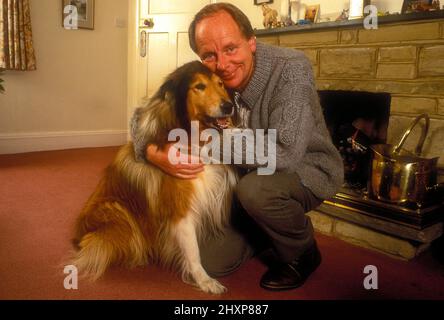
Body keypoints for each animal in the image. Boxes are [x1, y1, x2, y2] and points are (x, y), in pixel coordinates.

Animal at [72, 61, 239, 294]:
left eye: (221, 83)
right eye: (199, 86)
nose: (228, 106)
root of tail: (78, 236)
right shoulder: (180, 209)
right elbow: (193, 251)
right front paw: (205, 281)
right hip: (117, 211)